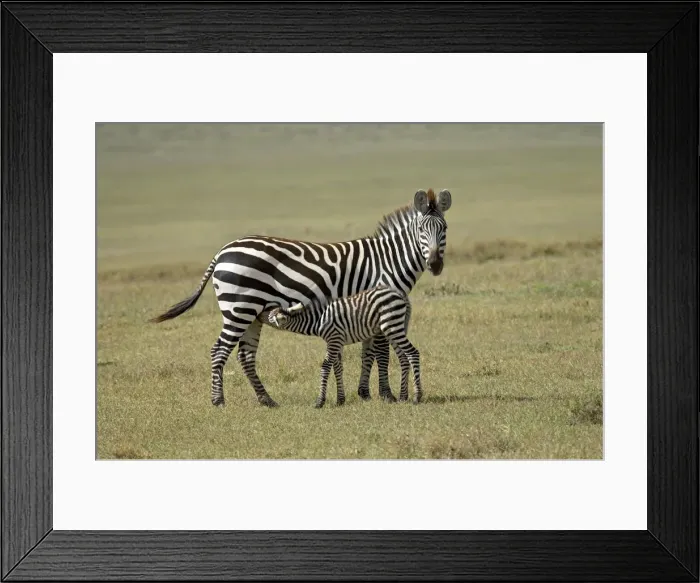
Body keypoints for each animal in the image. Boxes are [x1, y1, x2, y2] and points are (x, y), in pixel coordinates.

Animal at [265, 284, 422, 407]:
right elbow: (338, 368)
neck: (318, 320)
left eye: (272, 316)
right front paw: (340, 400)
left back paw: (417, 396)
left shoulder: (334, 339)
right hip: (393, 328)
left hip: (392, 326)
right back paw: (403, 396)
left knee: (413, 353)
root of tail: (398, 294)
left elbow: (325, 367)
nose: (265, 314)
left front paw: (320, 401)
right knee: (403, 357)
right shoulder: (336, 341)